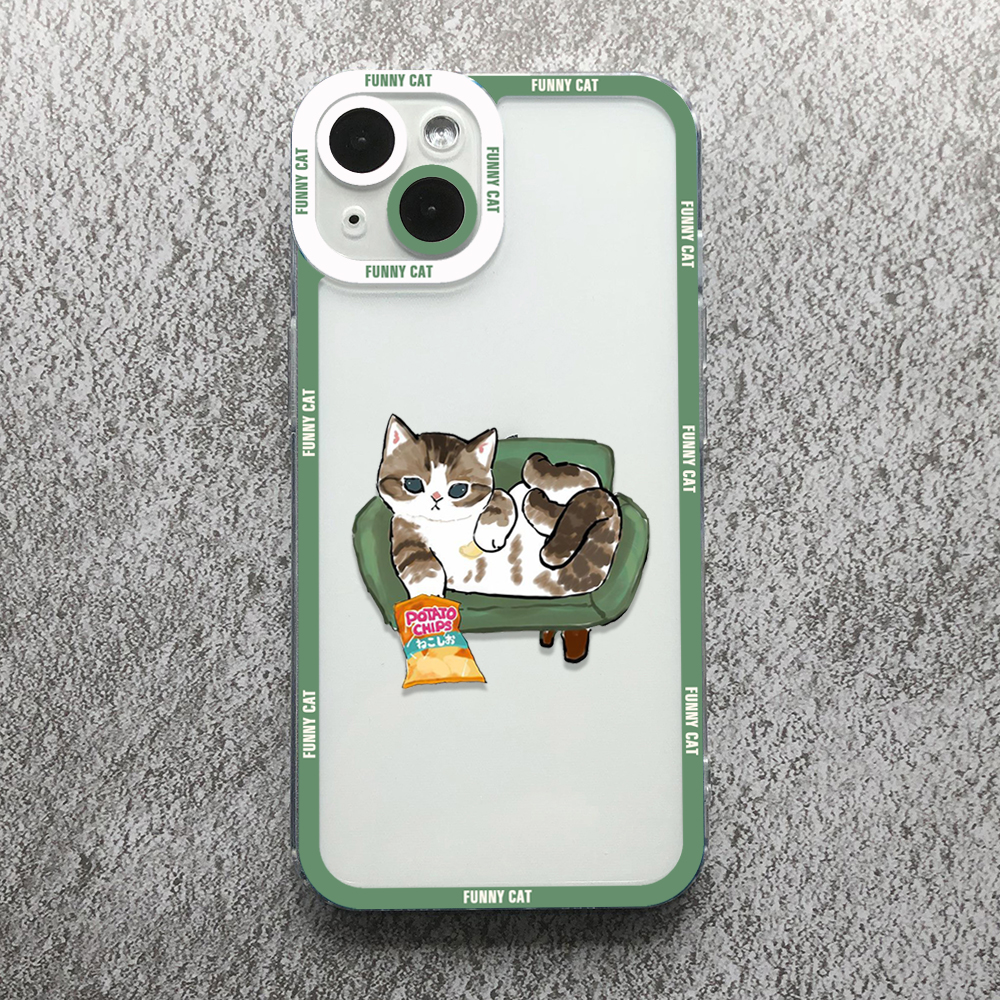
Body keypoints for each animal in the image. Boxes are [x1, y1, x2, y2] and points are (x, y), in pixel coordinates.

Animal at [376, 415, 622, 599]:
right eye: (413, 484)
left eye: (458, 489)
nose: (436, 498)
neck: (444, 524)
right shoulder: (402, 531)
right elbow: (415, 561)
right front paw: (428, 597)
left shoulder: (495, 495)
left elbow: (501, 499)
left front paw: (489, 534)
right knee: (587, 494)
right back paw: (540, 507)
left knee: (586, 482)